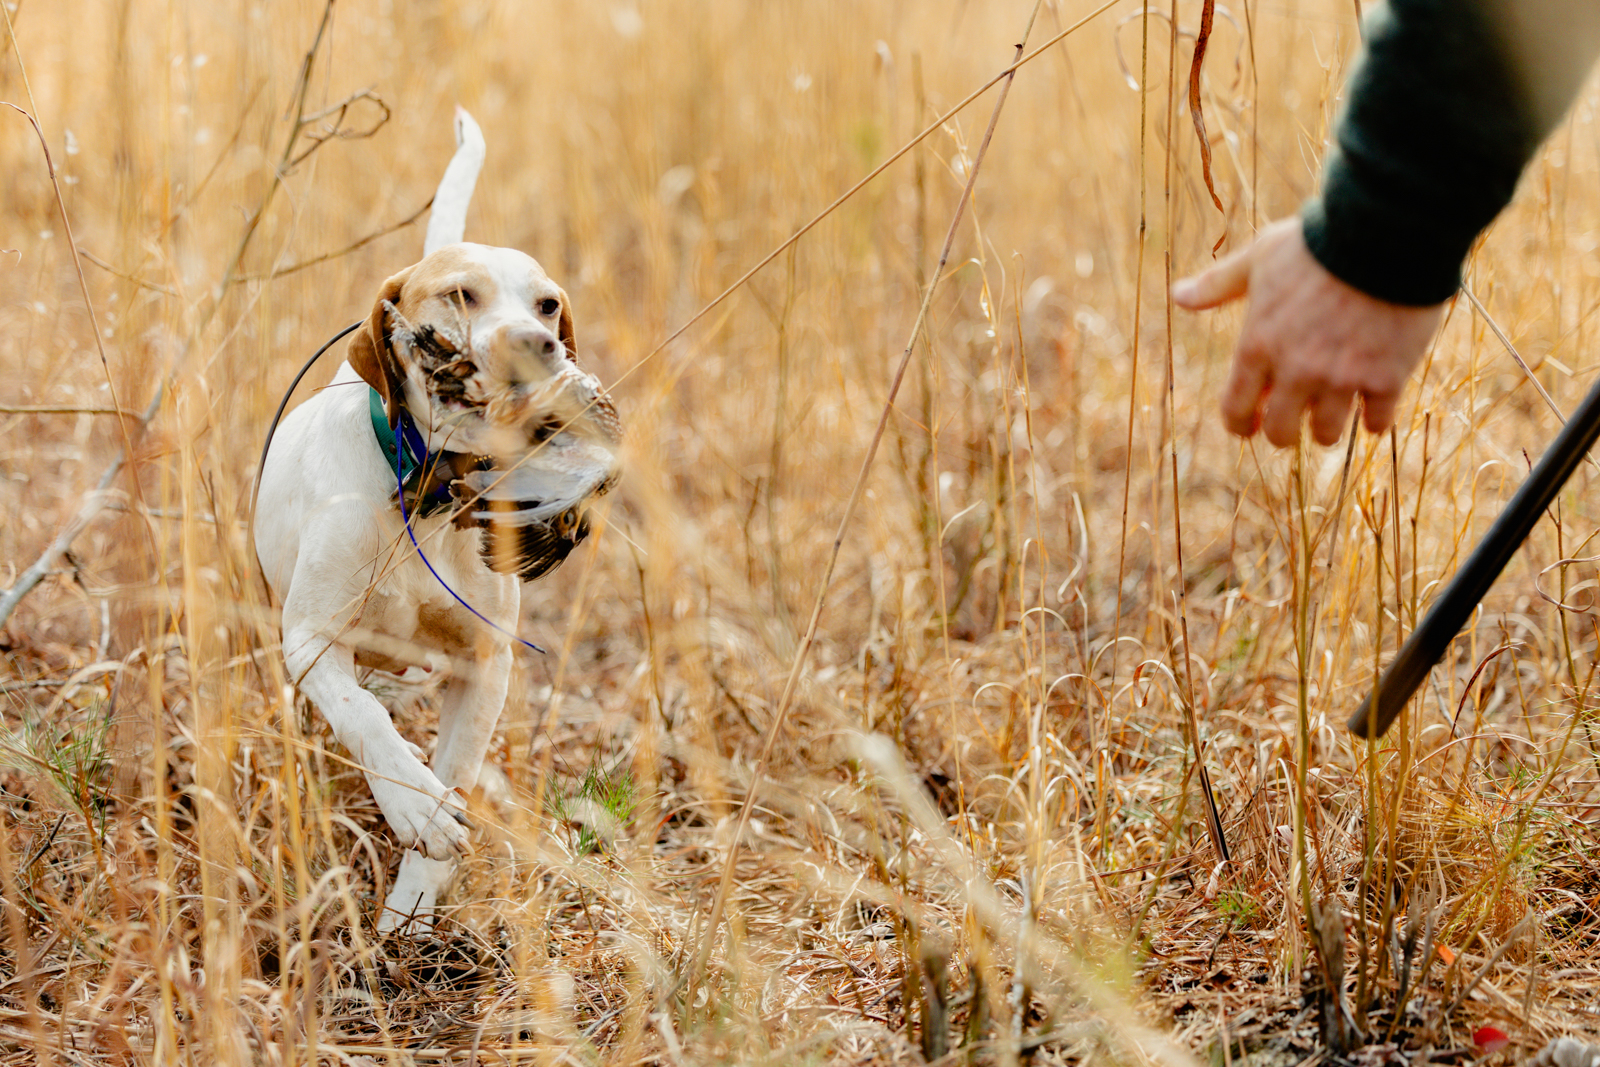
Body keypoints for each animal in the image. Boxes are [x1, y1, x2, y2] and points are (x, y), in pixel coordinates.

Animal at [255, 108, 620, 932]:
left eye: (548, 304)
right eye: (461, 294)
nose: (536, 345)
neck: (428, 493)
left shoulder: (485, 666)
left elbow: (451, 772)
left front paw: (412, 910)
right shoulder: (309, 639)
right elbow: (364, 719)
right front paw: (415, 808)